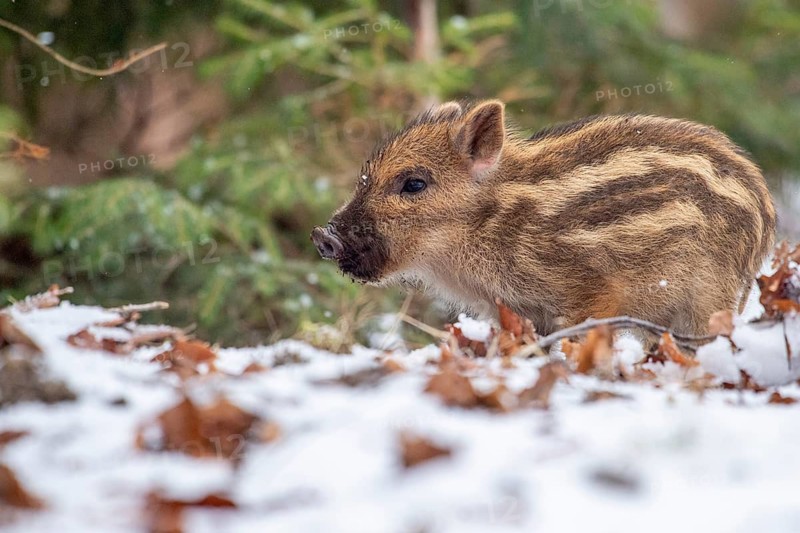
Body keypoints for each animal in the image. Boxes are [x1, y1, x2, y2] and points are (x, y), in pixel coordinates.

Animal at [311, 100, 776, 336]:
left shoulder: (591, 290)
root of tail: (766, 214)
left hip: (710, 295)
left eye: (413, 183)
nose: (323, 235)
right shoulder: (517, 309)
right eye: (365, 178)